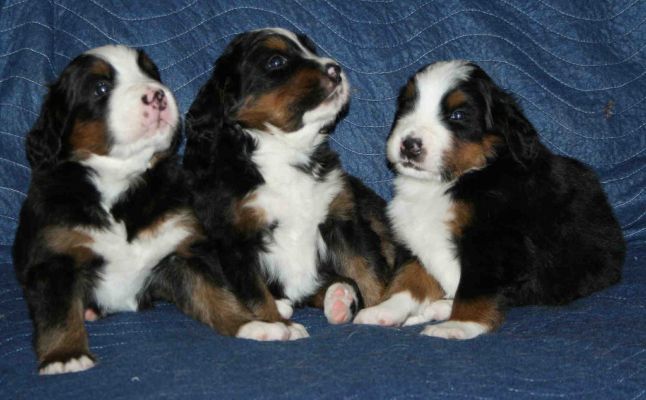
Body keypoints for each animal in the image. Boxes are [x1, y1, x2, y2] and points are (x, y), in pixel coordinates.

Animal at [12, 44, 302, 376]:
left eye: (150, 73)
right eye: (101, 88)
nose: (157, 95)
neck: (121, 184)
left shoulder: (182, 252)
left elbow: (215, 293)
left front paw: (251, 324)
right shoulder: (54, 258)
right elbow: (57, 313)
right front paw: (65, 357)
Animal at [182, 26, 404, 330]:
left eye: (311, 49)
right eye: (276, 62)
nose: (335, 69)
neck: (284, 150)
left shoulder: (343, 220)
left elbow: (368, 270)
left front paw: (380, 309)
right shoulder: (234, 240)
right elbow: (255, 296)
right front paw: (277, 327)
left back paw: (339, 298)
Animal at [354, 61, 628, 340]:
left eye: (457, 116)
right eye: (407, 106)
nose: (409, 144)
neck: (453, 181)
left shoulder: (491, 243)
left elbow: (474, 289)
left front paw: (460, 324)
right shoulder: (415, 237)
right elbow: (408, 278)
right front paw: (385, 310)